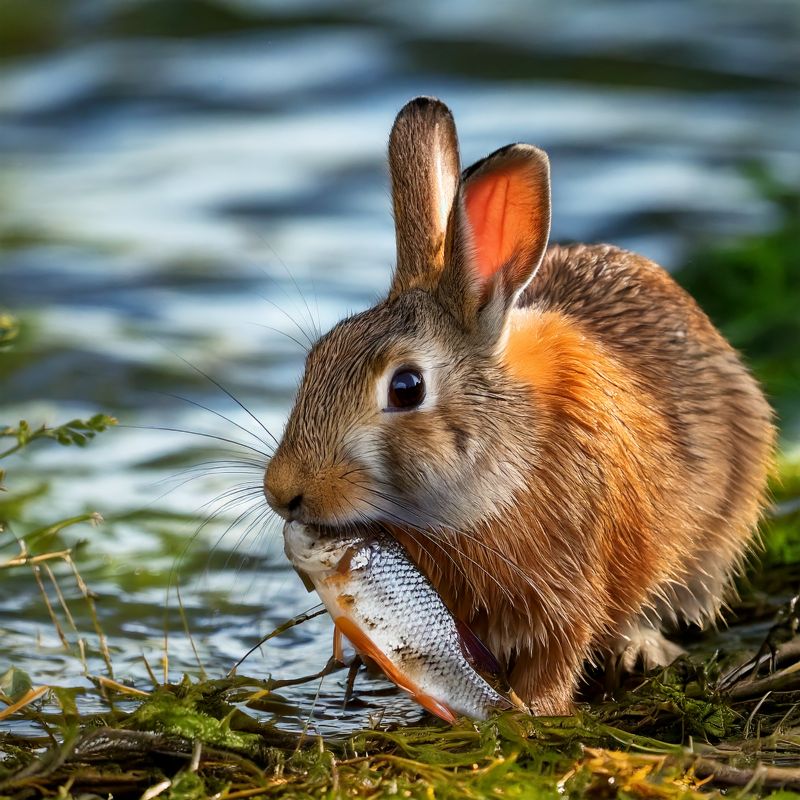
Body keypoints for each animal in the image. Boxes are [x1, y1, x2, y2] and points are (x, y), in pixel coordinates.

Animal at [264, 96, 776, 715]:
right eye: (317, 356)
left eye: (406, 387)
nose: (283, 492)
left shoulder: (570, 585)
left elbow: (559, 654)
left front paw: (535, 712)